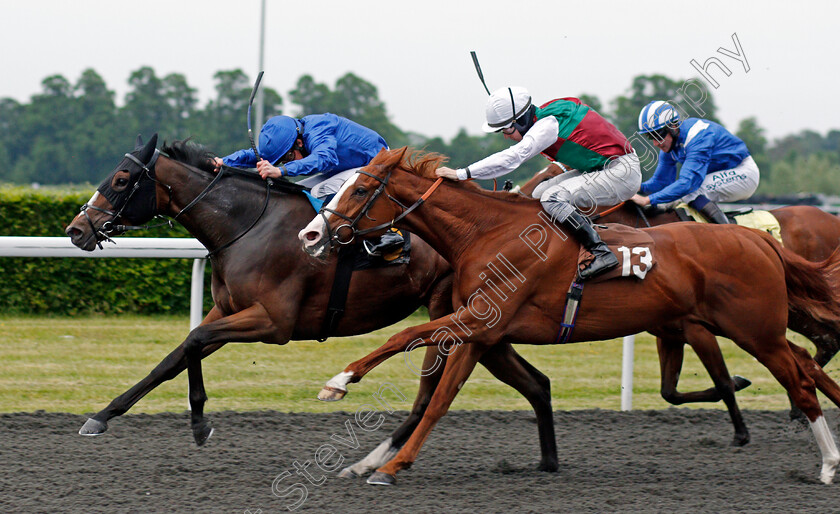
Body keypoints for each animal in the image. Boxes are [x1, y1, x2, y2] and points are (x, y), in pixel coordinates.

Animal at [60, 135, 556, 472]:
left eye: (121, 179)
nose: (76, 230)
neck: (246, 224)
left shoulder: (273, 322)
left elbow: (195, 339)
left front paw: (195, 421)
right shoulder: (230, 310)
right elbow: (179, 353)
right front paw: (106, 416)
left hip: (458, 315)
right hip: (481, 324)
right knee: (536, 383)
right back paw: (547, 462)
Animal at [302, 147, 840, 484]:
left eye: (359, 190)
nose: (311, 236)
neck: (488, 233)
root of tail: (758, 239)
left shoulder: (477, 323)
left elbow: (407, 336)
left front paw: (338, 382)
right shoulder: (480, 332)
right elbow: (436, 401)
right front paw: (388, 466)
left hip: (753, 330)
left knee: (800, 382)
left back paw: (828, 463)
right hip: (759, 328)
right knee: (808, 363)